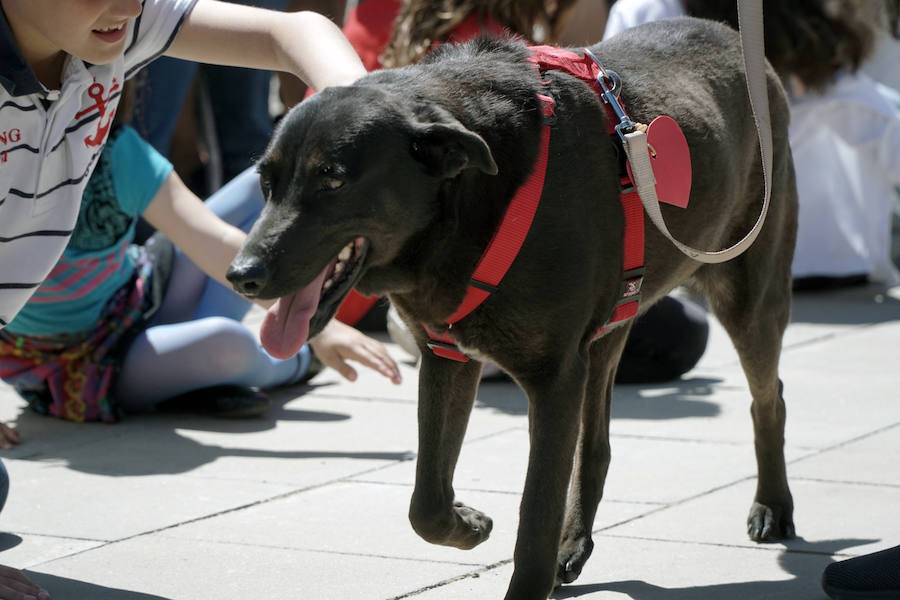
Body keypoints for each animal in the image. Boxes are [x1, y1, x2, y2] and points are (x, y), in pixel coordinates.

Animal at [229, 17, 800, 600]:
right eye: (266, 183)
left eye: (333, 179)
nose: (242, 274)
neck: (472, 199)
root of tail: (729, 33)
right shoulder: (447, 357)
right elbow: (425, 501)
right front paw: (468, 525)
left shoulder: (554, 378)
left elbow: (534, 516)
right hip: (612, 326)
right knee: (595, 446)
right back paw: (573, 546)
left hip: (747, 294)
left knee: (769, 398)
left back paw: (772, 507)